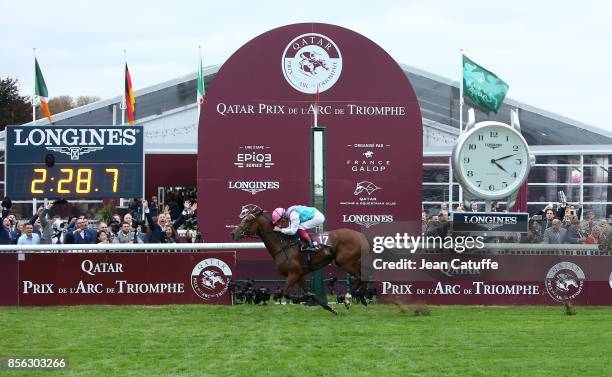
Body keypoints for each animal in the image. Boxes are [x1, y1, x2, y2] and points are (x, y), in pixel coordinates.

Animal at [230, 206, 370, 314]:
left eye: (247, 220)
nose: (232, 234)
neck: (283, 245)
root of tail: (361, 235)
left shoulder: (293, 273)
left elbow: (285, 293)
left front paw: (301, 299)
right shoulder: (299, 275)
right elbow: (310, 294)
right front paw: (331, 309)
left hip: (344, 262)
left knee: (361, 276)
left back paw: (348, 298)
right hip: (352, 261)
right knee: (366, 275)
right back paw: (362, 297)